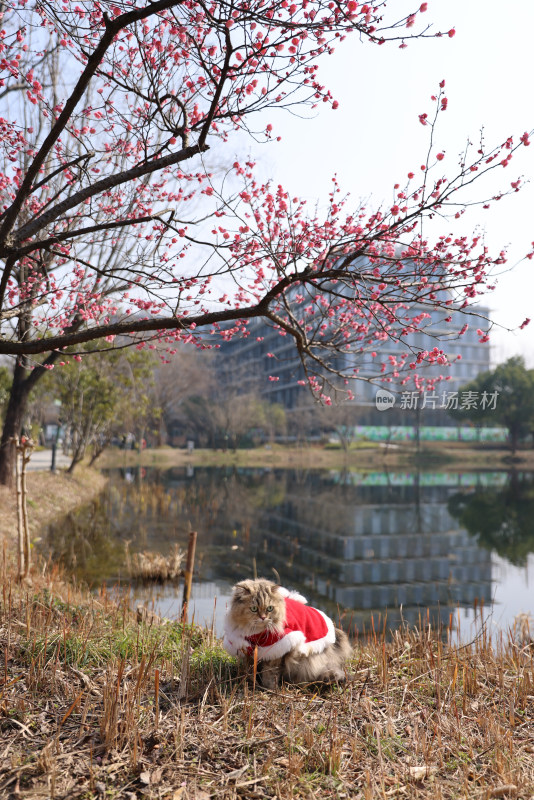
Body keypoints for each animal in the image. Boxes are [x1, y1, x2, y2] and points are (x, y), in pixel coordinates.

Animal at [224, 576, 354, 688]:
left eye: (270, 608)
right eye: (254, 609)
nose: (263, 617)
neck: (256, 633)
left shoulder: (276, 651)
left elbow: (270, 673)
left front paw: (269, 688)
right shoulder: (247, 648)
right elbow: (250, 669)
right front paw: (250, 682)